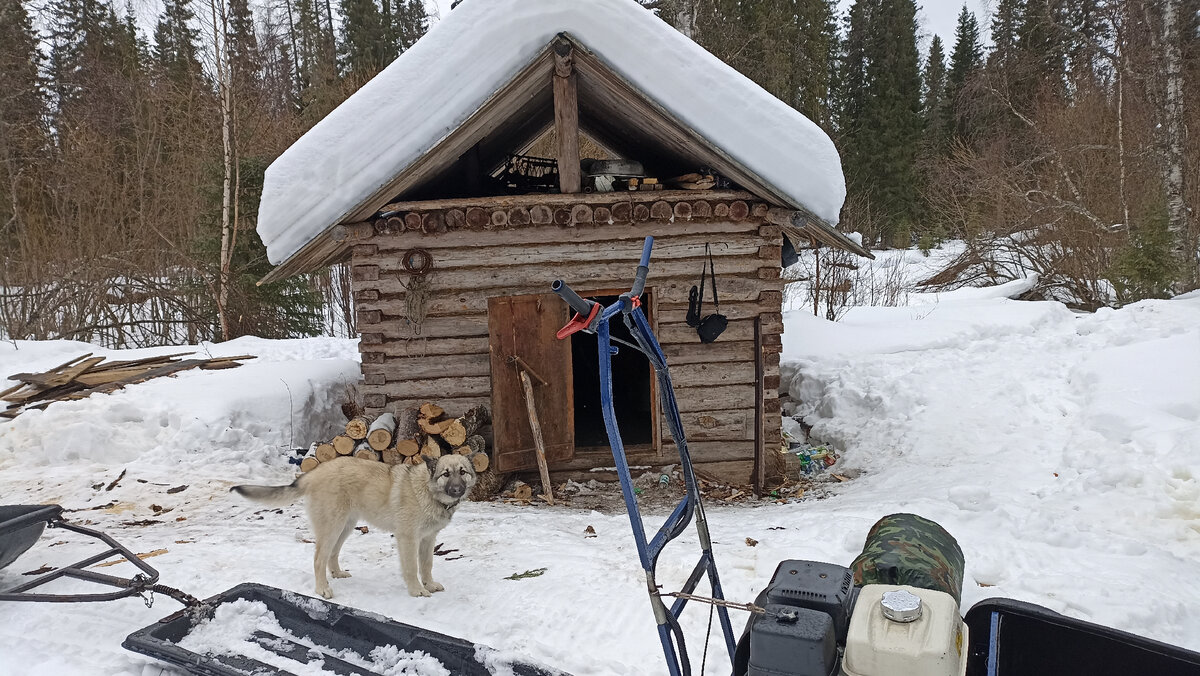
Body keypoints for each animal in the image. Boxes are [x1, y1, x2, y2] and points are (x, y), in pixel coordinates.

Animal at [232, 454, 478, 599]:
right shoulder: (408, 539)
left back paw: (337, 573)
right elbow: (411, 568)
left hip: (345, 527)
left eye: (462, 472)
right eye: (446, 474)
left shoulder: (428, 539)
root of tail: (313, 473)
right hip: (332, 527)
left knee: (332, 555)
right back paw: (322, 588)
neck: (427, 491)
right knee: (319, 559)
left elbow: (426, 565)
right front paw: (416, 590)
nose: (457, 489)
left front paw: (430, 584)